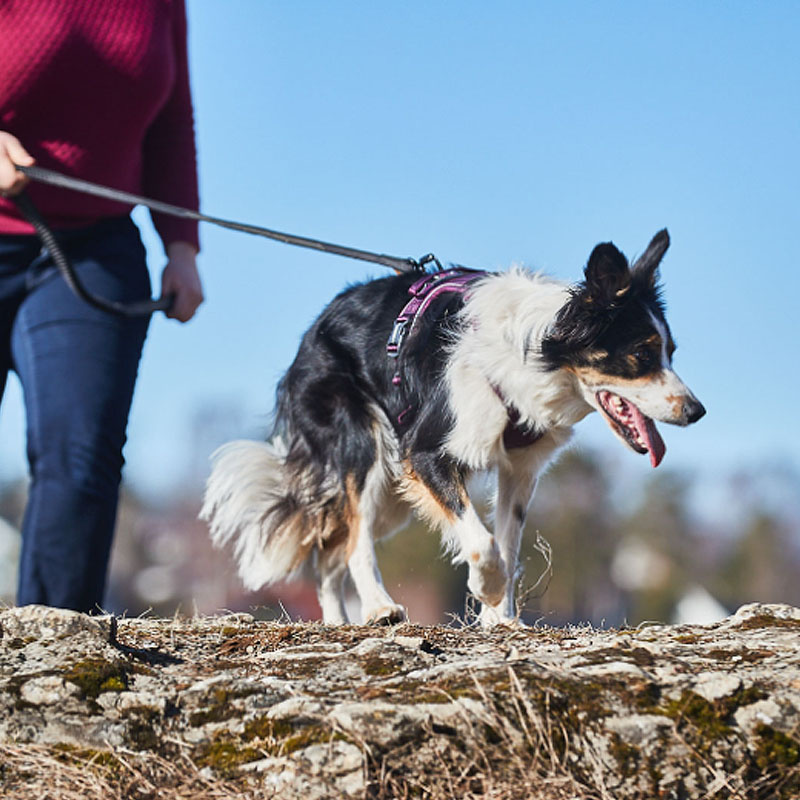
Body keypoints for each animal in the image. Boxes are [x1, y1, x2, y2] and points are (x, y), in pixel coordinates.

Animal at [202, 228, 708, 628]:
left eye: (671, 353)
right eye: (642, 354)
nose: (697, 411)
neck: (532, 356)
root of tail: (314, 330)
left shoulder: (520, 469)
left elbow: (508, 543)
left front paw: (501, 619)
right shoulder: (426, 452)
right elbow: (484, 543)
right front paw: (487, 590)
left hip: (393, 497)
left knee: (332, 552)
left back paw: (340, 620)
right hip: (364, 450)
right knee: (354, 540)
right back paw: (380, 608)